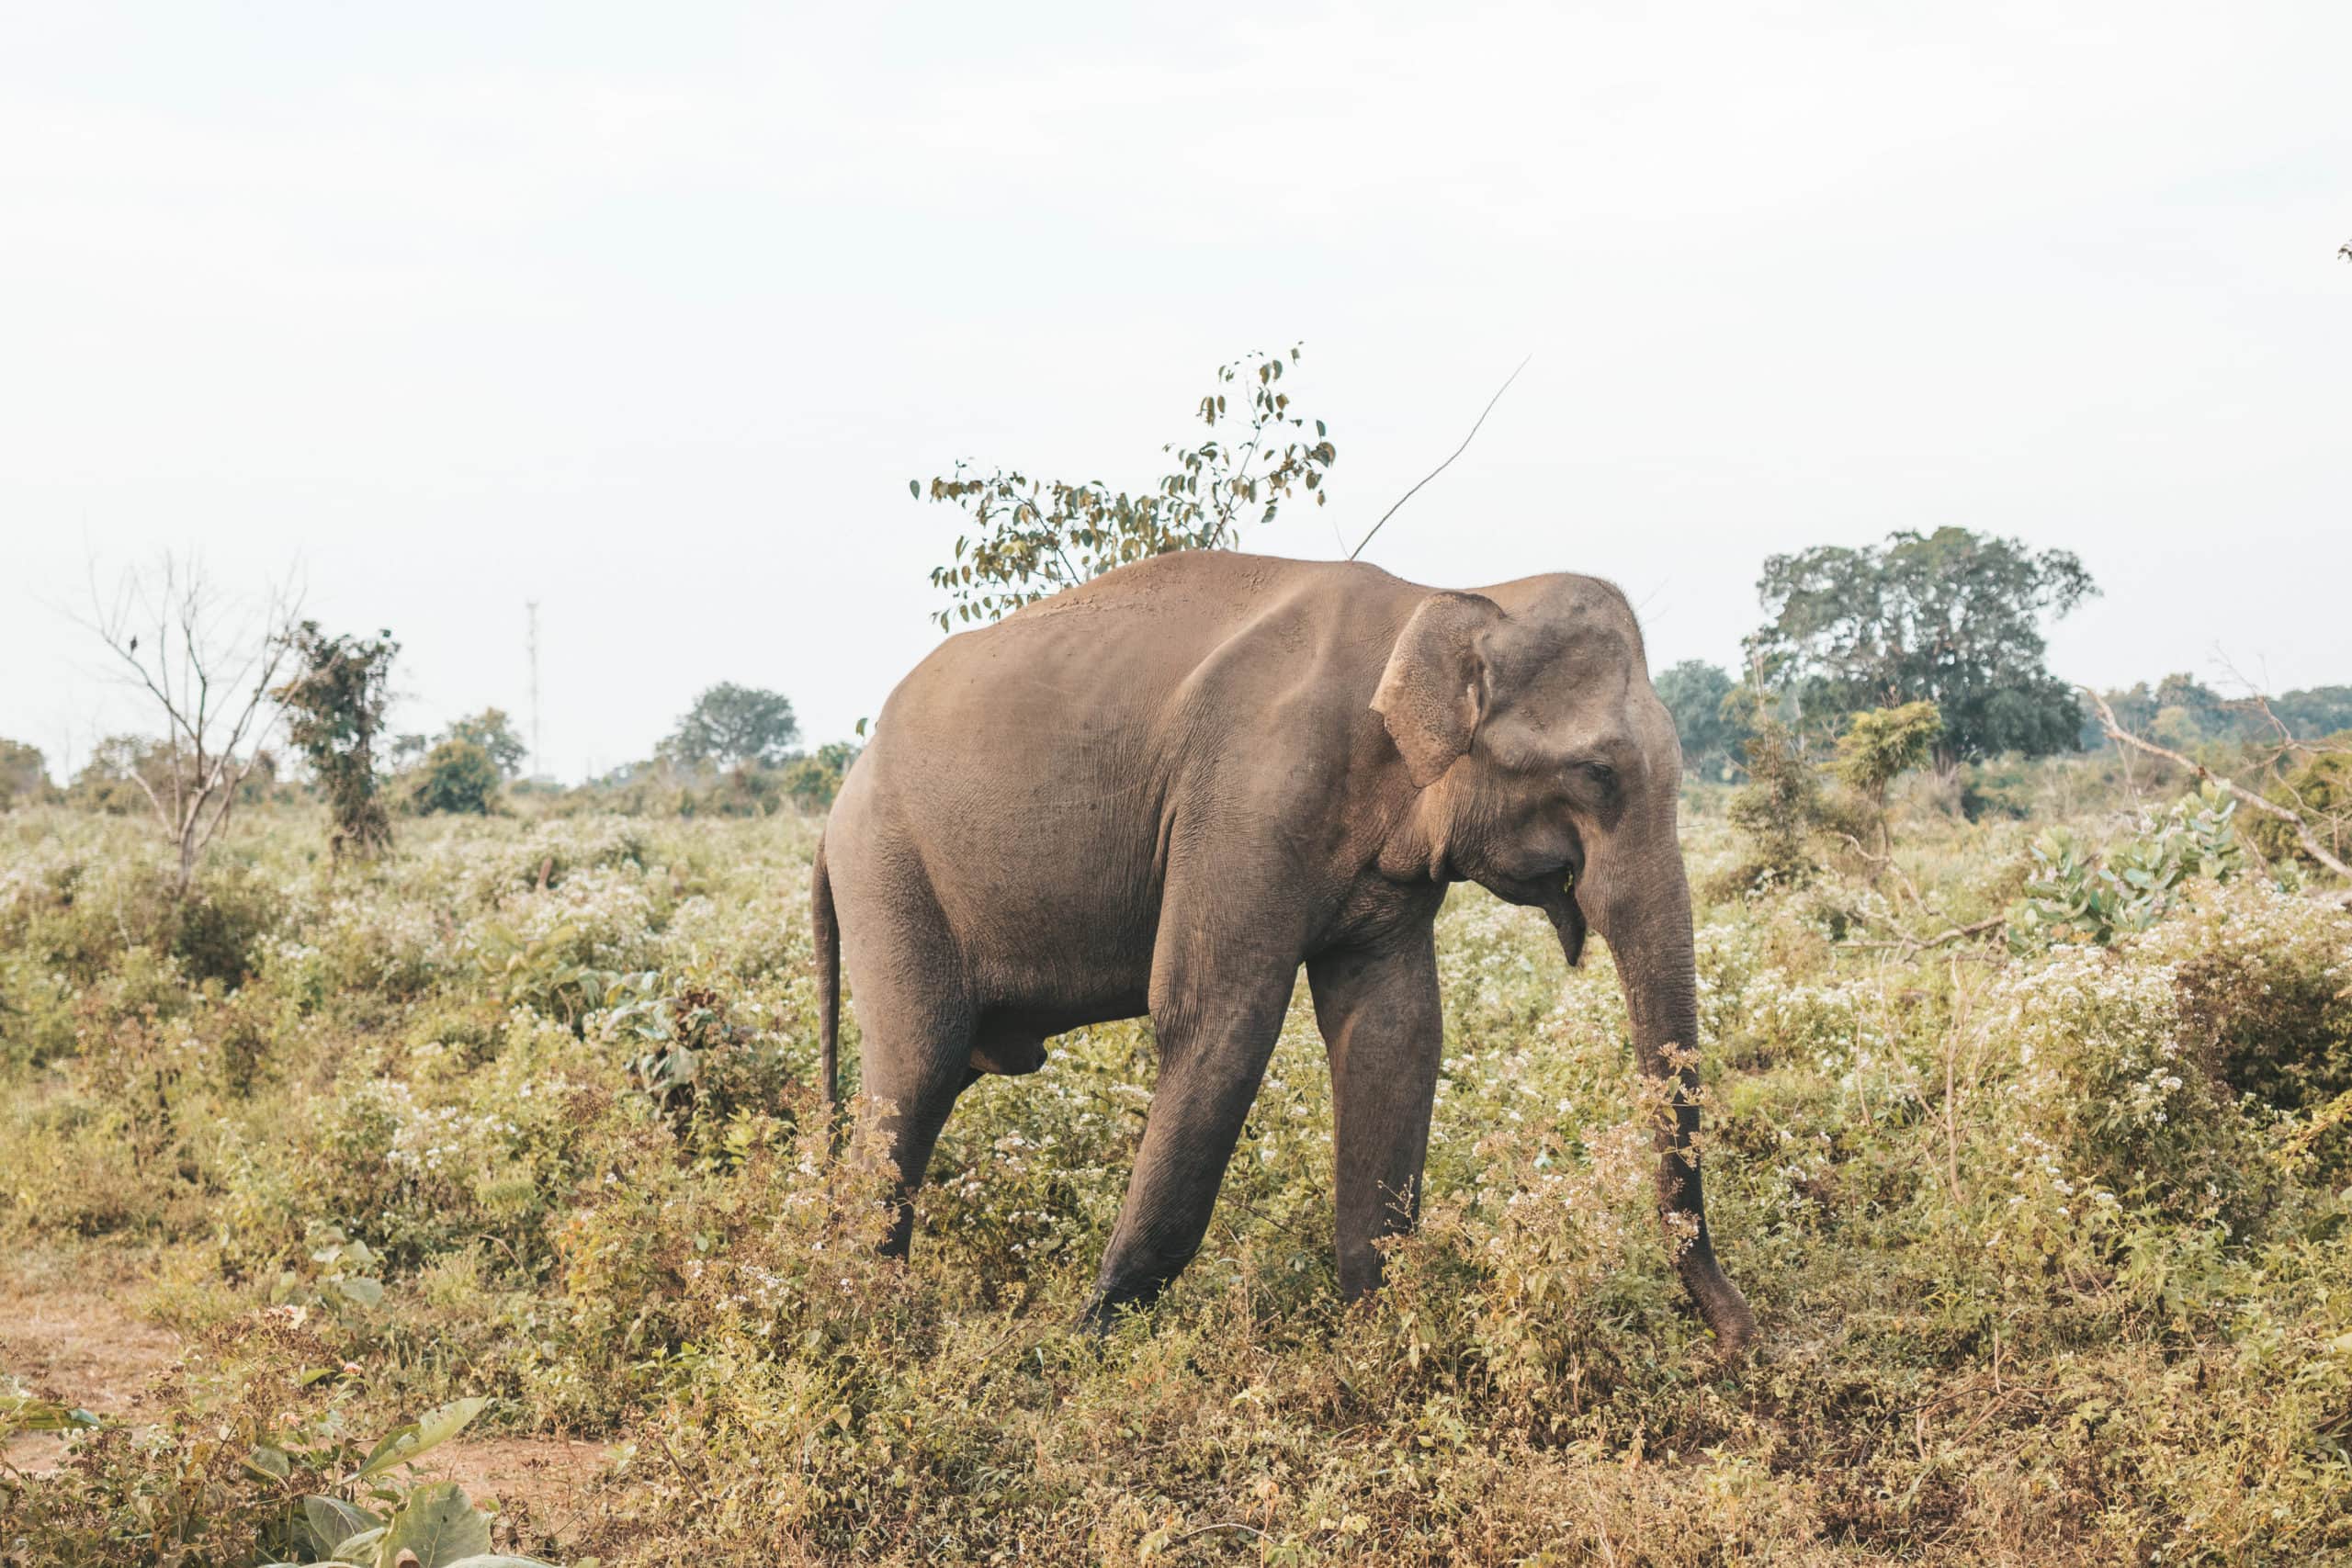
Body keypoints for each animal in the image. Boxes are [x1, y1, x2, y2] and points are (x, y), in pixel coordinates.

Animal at [808, 549, 1749, 1354]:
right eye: (1598, 773)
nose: (1746, 1339)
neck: (1449, 596)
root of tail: (837, 802)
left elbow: (1395, 1029)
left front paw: (1378, 1334)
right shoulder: (1246, 797)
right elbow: (1217, 1017)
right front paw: (1086, 1344)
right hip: (890, 878)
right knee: (914, 1074)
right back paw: (870, 1311)